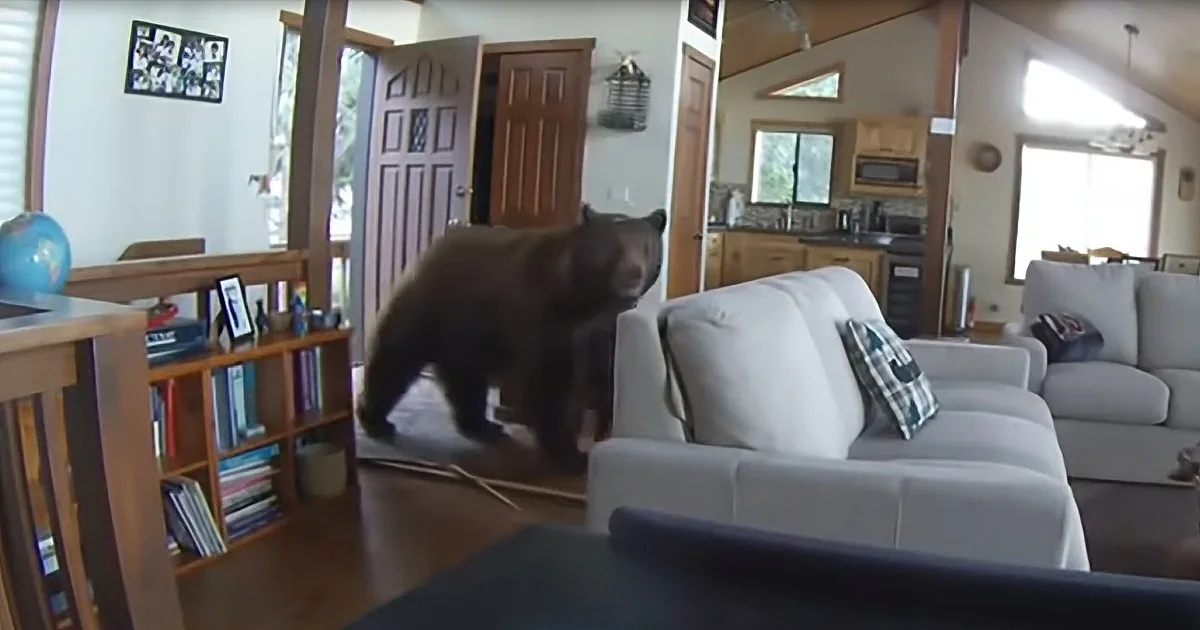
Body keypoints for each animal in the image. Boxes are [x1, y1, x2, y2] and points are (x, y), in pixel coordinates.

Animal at [357, 205, 666, 473]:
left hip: (467, 333)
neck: (588, 301)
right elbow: (550, 383)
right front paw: (569, 454)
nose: (632, 273)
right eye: (611, 247)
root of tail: (434, 246)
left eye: (646, 246)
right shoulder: (546, 317)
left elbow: (608, 377)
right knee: (393, 360)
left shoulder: (607, 330)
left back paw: (482, 425)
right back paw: (376, 420)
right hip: (430, 309)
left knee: (464, 379)